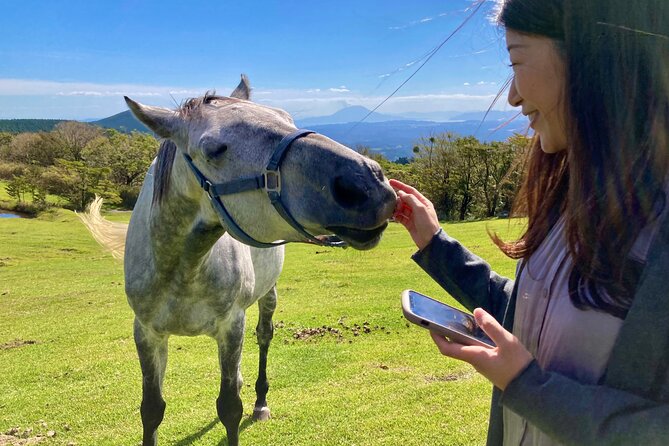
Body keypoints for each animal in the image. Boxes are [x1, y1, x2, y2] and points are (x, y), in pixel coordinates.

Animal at [81, 75, 400, 444]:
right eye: (214, 150)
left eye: (287, 118)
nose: (367, 184)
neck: (182, 267)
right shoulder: (147, 333)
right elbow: (152, 409)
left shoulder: (231, 325)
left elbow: (229, 407)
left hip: (267, 296)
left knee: (263, 338)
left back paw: (260, 401)